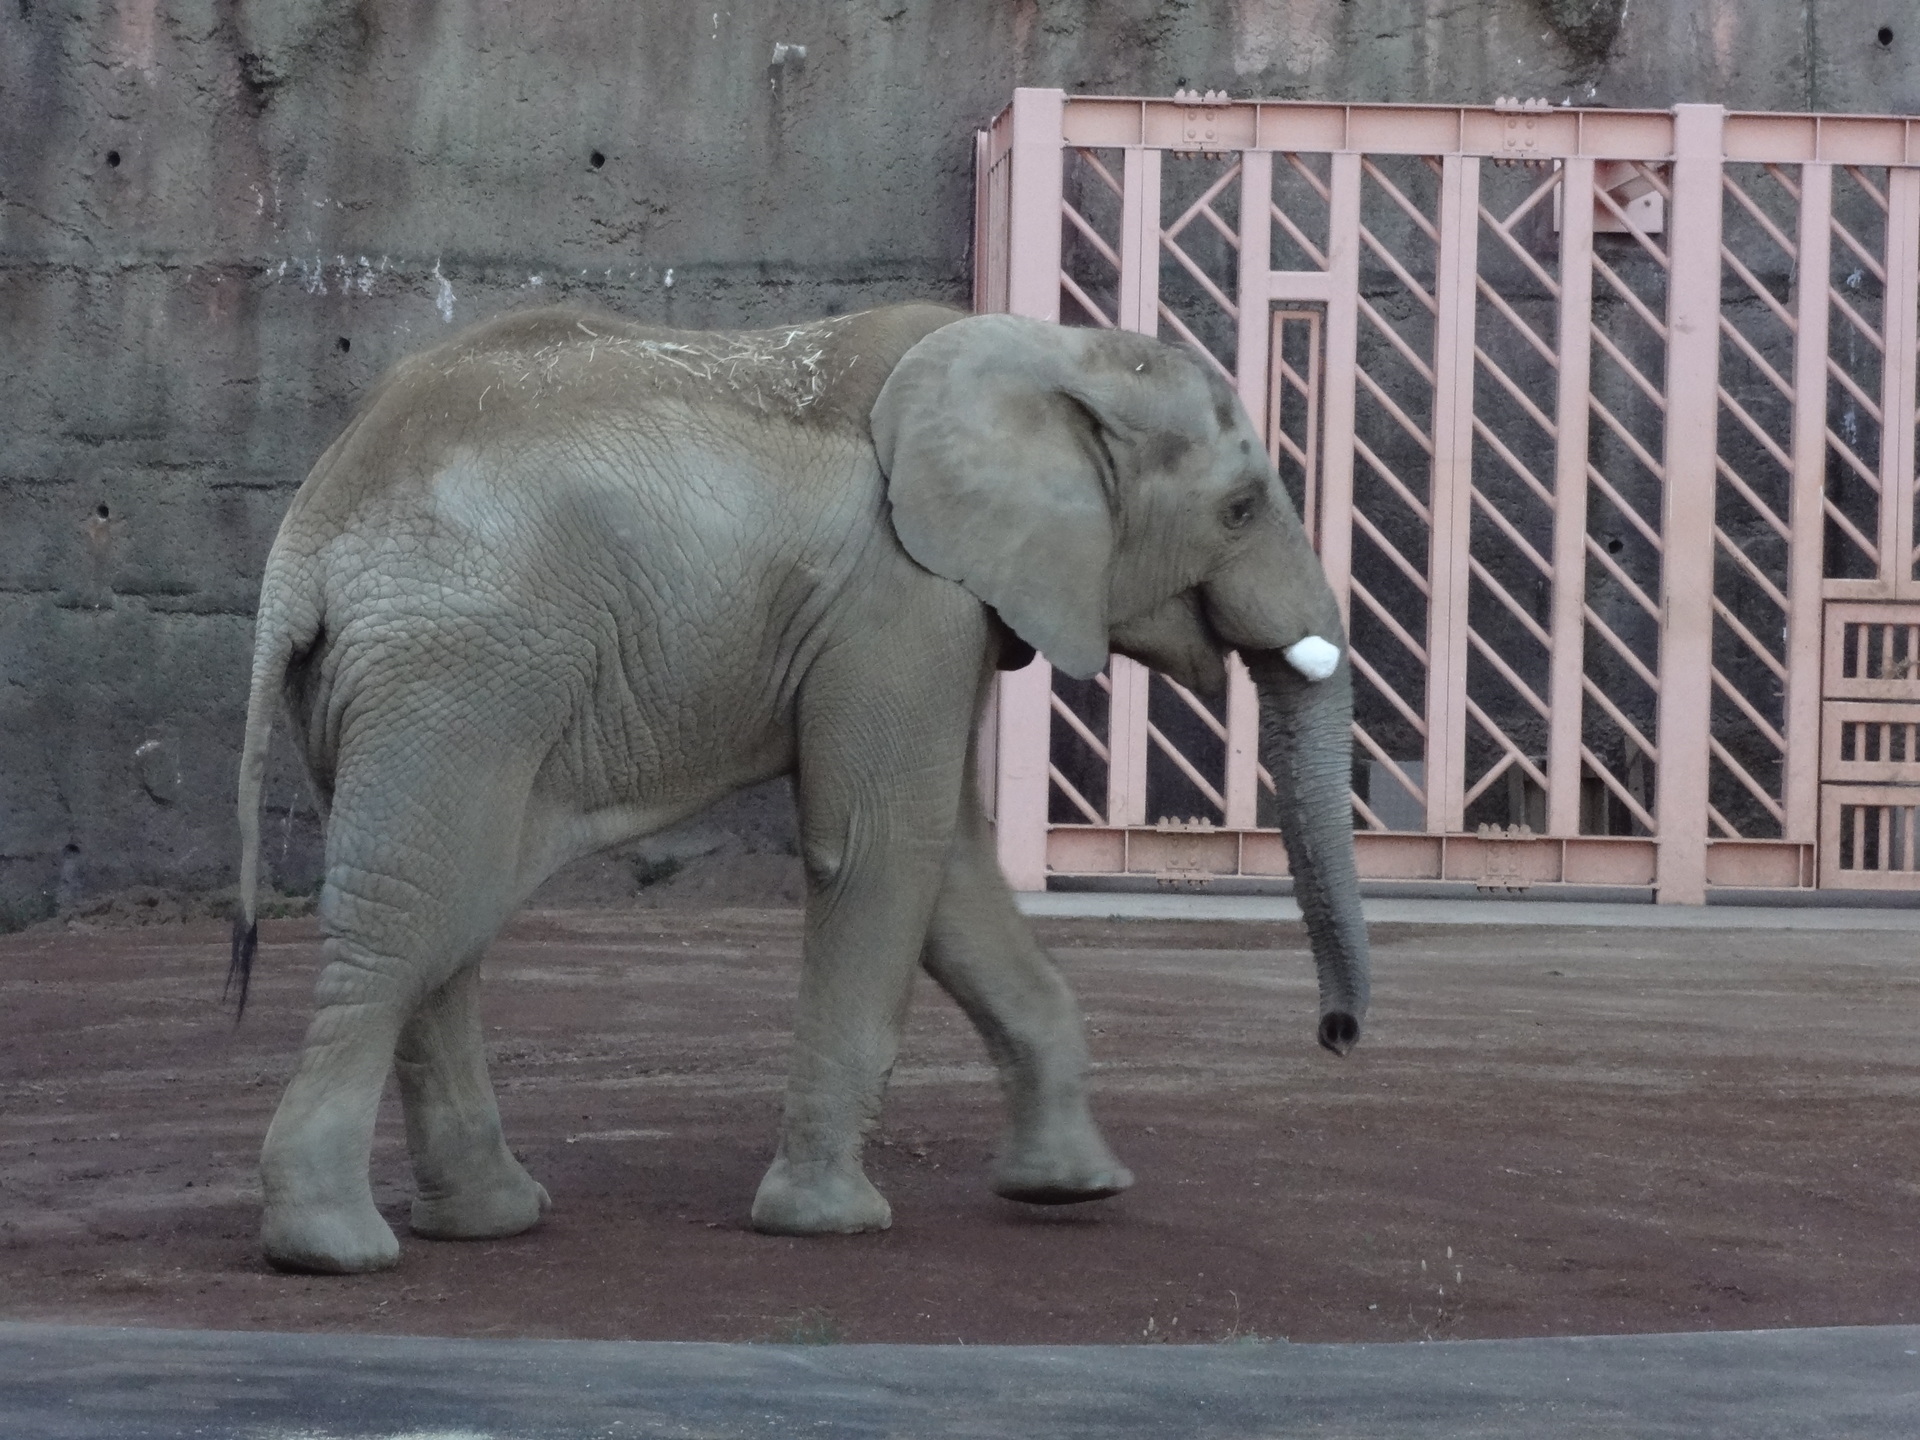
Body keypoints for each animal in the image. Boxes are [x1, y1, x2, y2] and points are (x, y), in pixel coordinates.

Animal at [232, 301, 1374, 1274]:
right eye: (1240, 509)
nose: (1339, 1036)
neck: (1050, 351)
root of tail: (311, 528)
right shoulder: (901, 595)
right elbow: (884, 846)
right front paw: (832, 1224)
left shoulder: (937, 605)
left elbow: (951, 866)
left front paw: (1073, 1190)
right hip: (458, 665)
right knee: (409, 914)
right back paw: (333, 1248)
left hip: (400, 684)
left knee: (449, 912)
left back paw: (487, 1221)